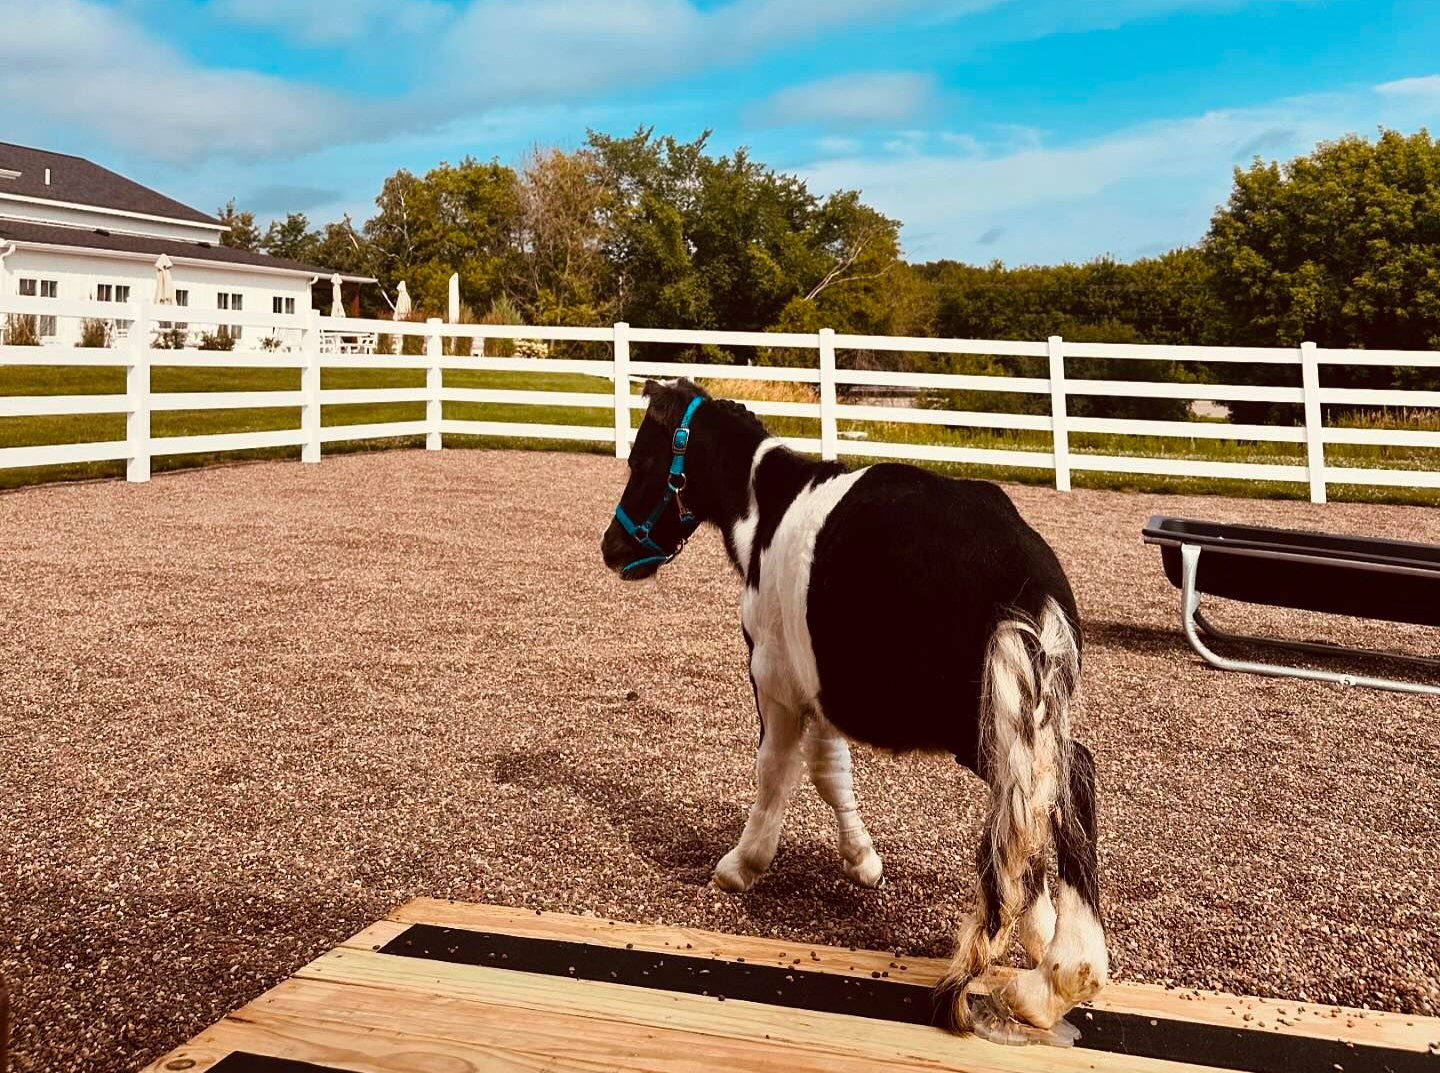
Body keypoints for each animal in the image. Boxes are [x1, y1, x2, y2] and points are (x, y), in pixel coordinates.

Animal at [601, 380, 1105, 1042]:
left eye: (644, 462)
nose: (612, 548)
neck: (768, 509)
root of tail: (1026, 581)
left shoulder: (778, 682)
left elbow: (778, 773)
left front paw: (742, 865)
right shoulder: (819, 688)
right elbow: (829, 769)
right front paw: (862, 860)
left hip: (984, 728)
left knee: (1065, 780)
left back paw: (1057, 977)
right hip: (1024, 718)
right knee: (1045, 797)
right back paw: (1052, 973)